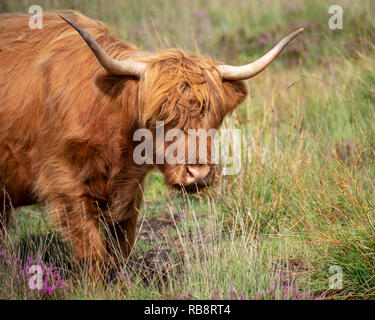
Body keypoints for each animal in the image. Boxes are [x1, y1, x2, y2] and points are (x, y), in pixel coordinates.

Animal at [0, 11, 302, 268]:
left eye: (213, 116)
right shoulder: (66, 185)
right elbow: (93, 253)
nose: (199, 173)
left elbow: (120, 248)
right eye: (160, 116)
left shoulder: (130, 191)